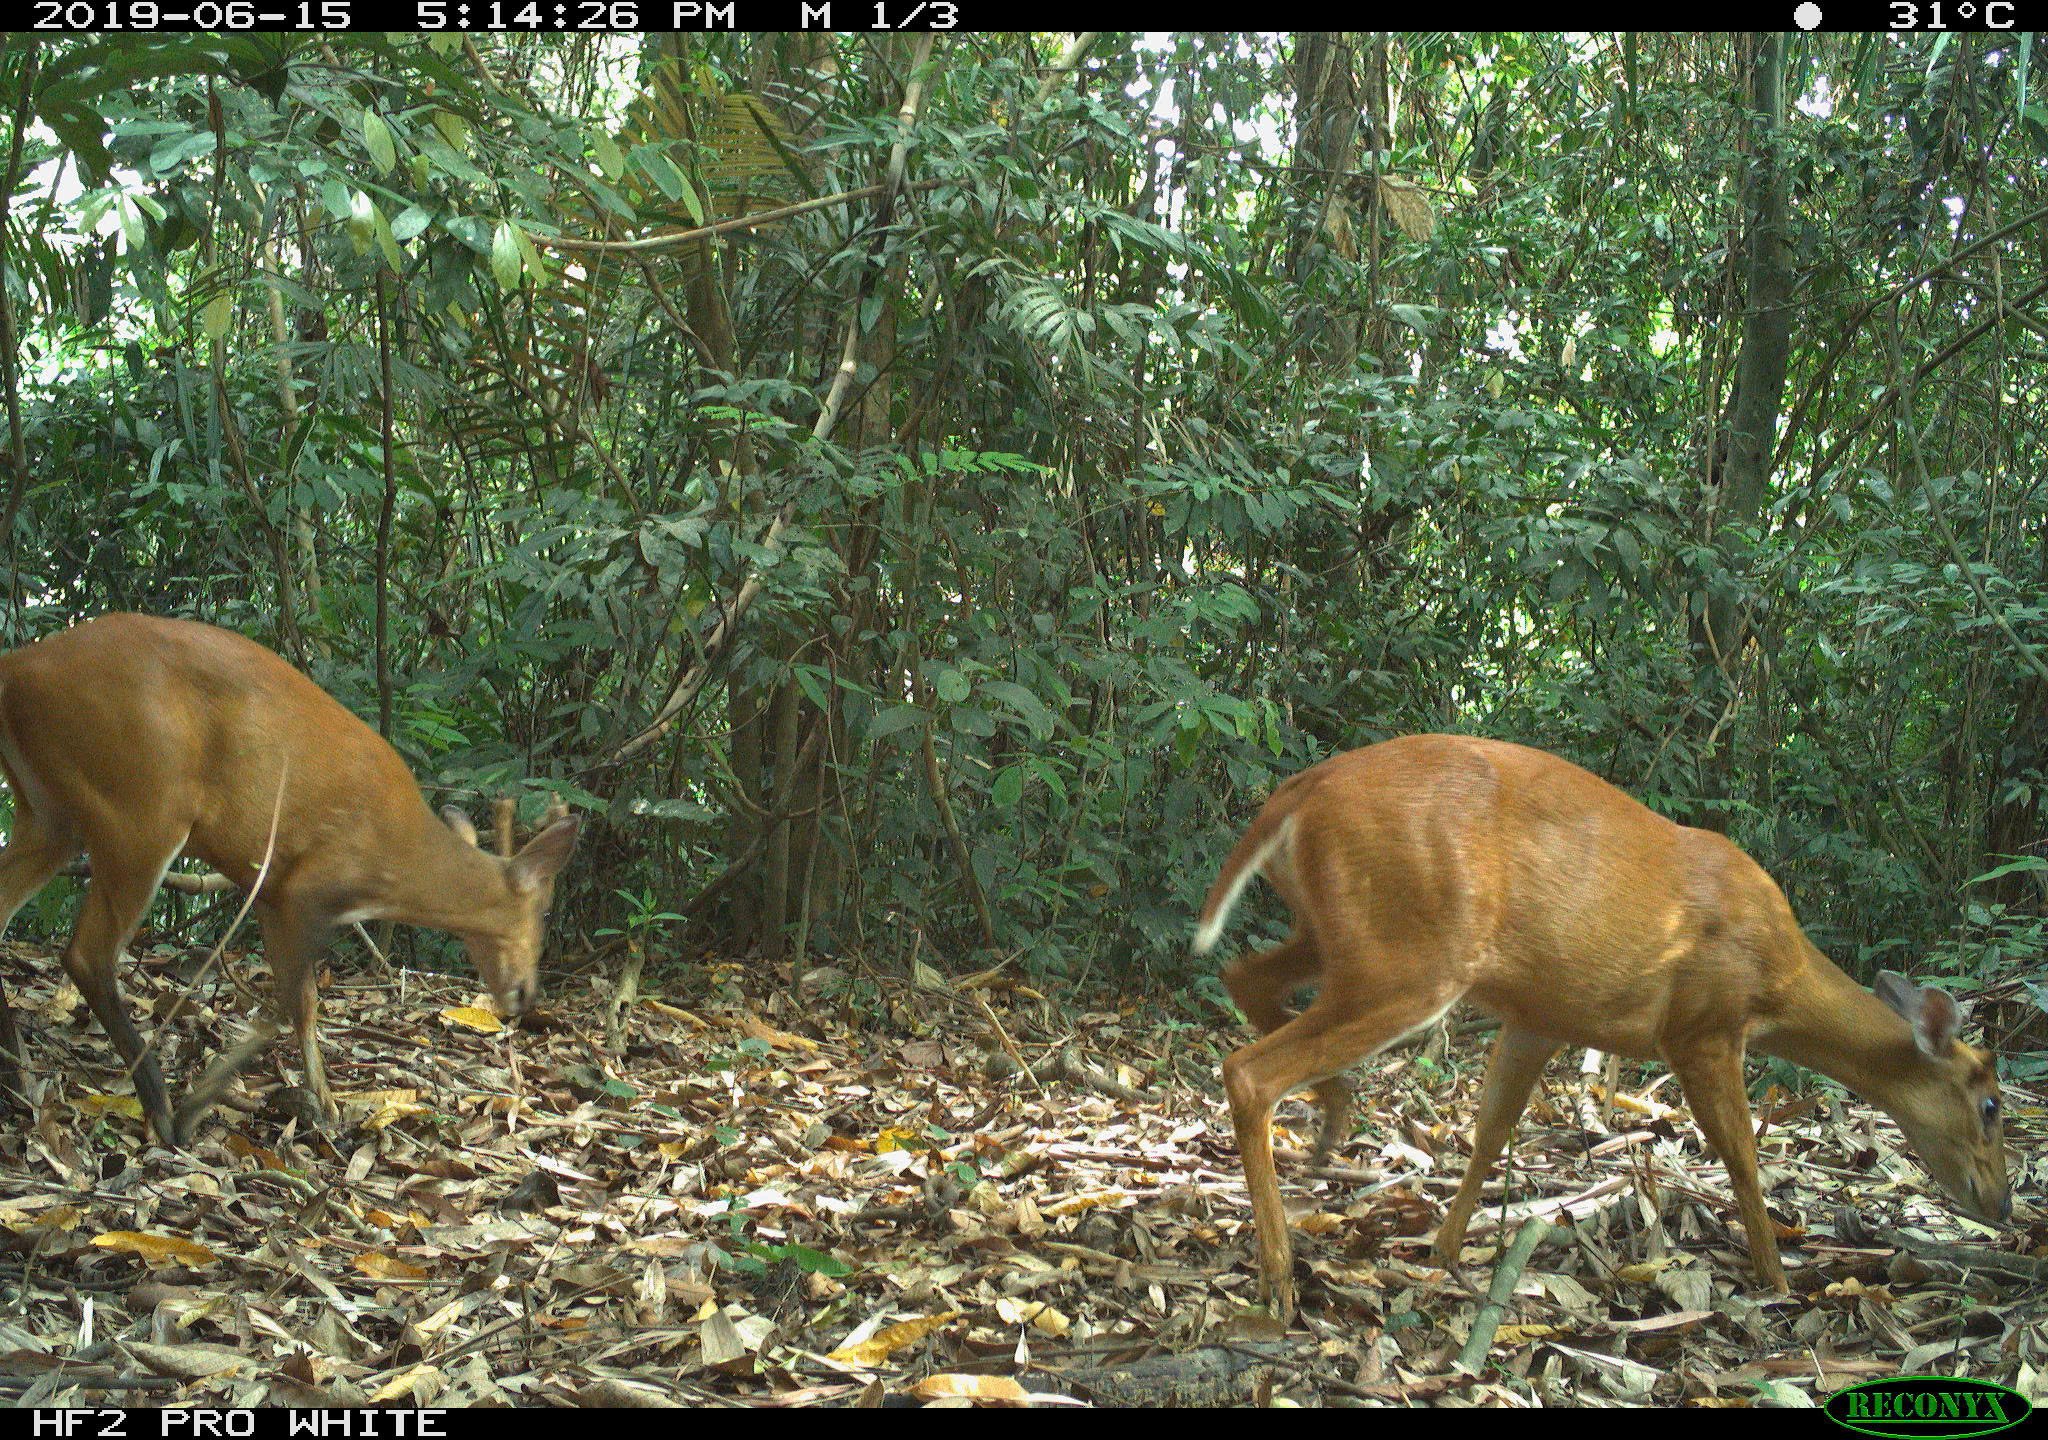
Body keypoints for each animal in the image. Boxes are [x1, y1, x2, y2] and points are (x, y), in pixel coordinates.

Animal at [0, 618, 585, 1147]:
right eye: (545, 911)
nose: (525, 995)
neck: (399, 859)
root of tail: (18, 668)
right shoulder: (303, 885)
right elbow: (292, 1002)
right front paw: (266, 1106)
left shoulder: (269, 890)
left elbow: (294, 1000)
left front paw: (316, 1104)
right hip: (140, 807)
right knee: (86, 954)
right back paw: (159, 1107)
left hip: (50, 815)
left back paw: (19, 1069)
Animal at [1196, 737, 2007, 1327]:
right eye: (1992, 1104)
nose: (2002, 1204)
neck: (1780, 981)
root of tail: (1297, 793)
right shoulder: (1702, 1023)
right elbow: (1743, 1156)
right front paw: (1777, 1277)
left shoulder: (1540, 1017)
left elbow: (1491, 1131)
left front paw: (1445, 1252)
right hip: (1412, 955)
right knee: (1249, 1068)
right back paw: (1279, 1276)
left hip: (1345, 935)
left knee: (1242, 975)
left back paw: (1332, 1121)